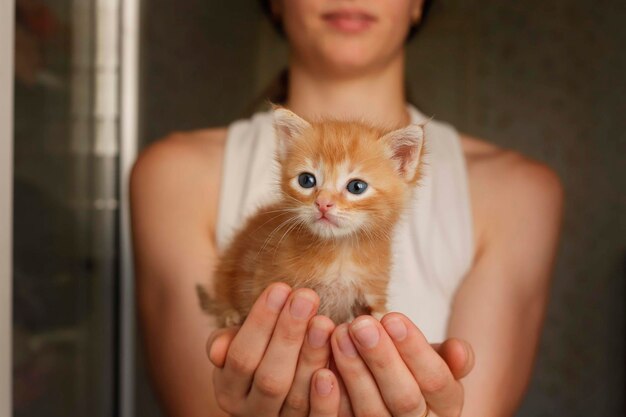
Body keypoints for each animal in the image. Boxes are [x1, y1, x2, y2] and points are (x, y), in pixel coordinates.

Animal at [199, 107, 424, 324]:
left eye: (356, 187)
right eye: (306, 180)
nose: (323, 203)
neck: (340, 254)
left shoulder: (372, 289)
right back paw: (228, 314)